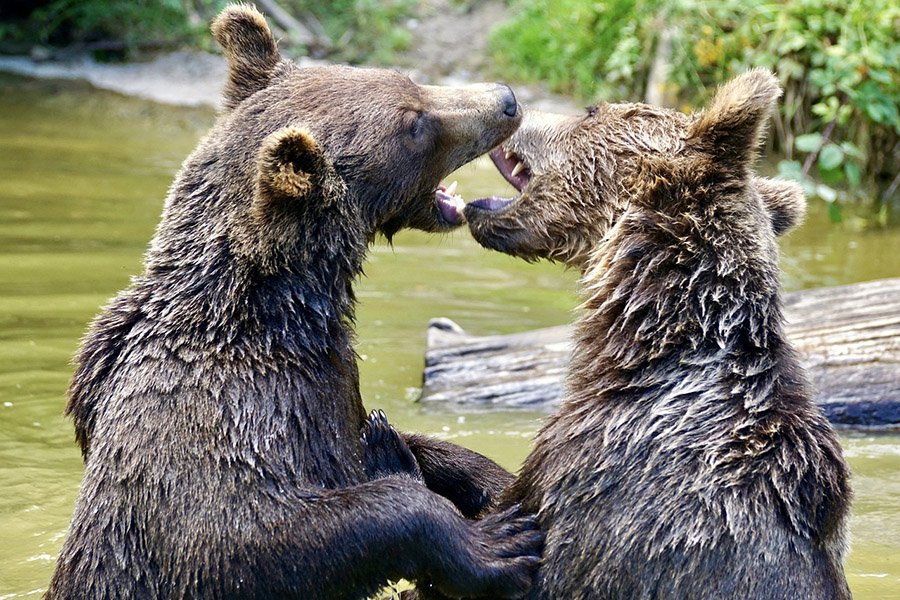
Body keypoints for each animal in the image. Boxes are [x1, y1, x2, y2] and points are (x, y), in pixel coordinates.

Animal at [45, 4, 543, 599]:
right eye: (414, 123)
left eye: (408, 80)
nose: (506, 98)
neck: (284, 312)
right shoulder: (226, 413)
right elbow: (250, 536)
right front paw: (498, 542)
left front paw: (489, 478)